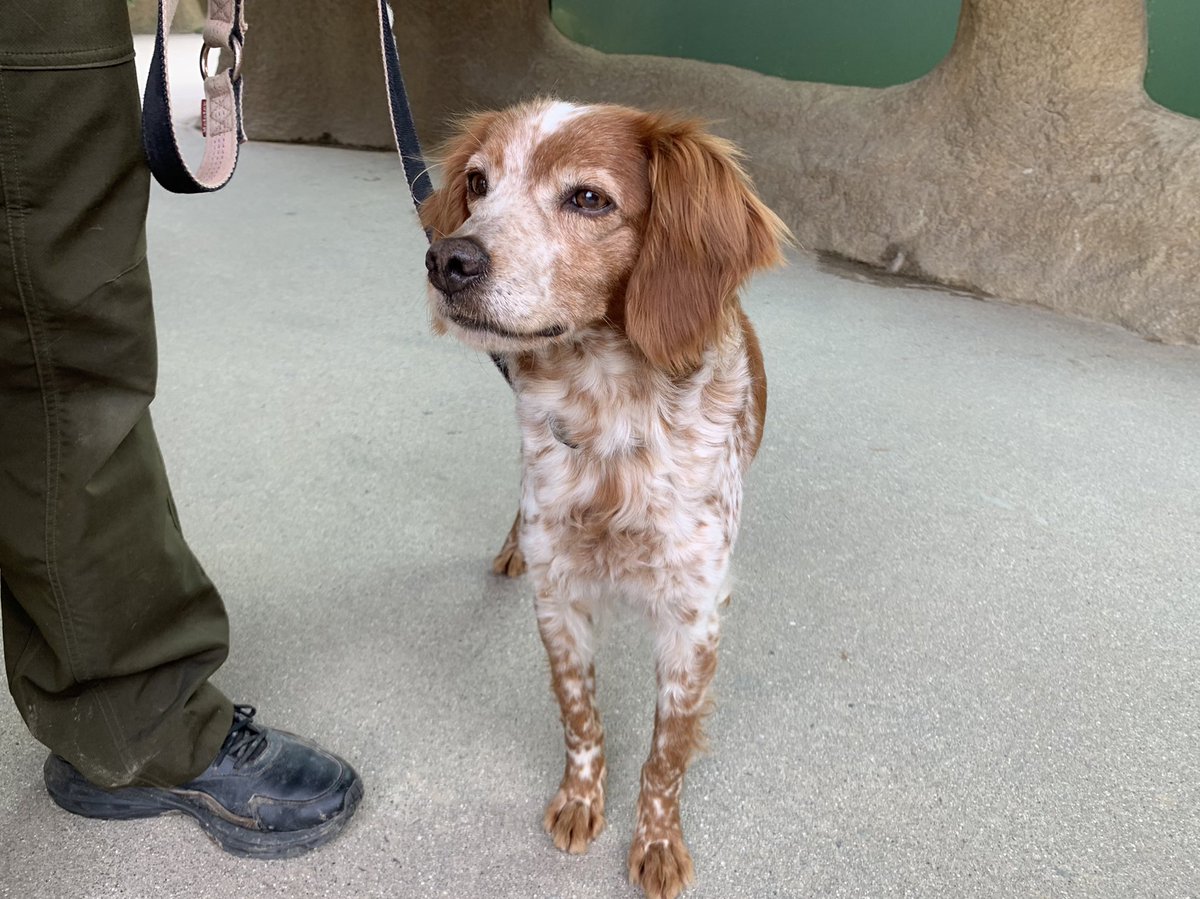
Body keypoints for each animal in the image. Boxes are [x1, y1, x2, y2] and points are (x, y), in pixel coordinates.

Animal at [420, 98, 787, 897]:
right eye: (478, 183)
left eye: (588, 198)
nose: (447, 260)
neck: (611, 410)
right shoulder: (559, 590)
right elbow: (580, 715)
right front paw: (580, 799)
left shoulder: (691, 615)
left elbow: (667, 750)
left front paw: (657, 840)